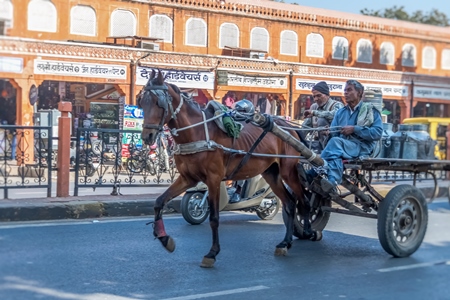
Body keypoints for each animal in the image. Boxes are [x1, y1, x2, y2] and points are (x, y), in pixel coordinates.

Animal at [139, 70, 312, 268]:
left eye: (158, 103)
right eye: (142, 102)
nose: (147, 136)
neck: (197, 132)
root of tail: (290, 127)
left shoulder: (213, 179)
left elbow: (214, 218)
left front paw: (212, 253)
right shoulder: (188, 178)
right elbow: (159, 202)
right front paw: (164, 238)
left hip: (288, 171)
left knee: (304, 200)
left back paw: (308, 231)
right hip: (271, 173)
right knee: (290, 203)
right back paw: (285, 242)